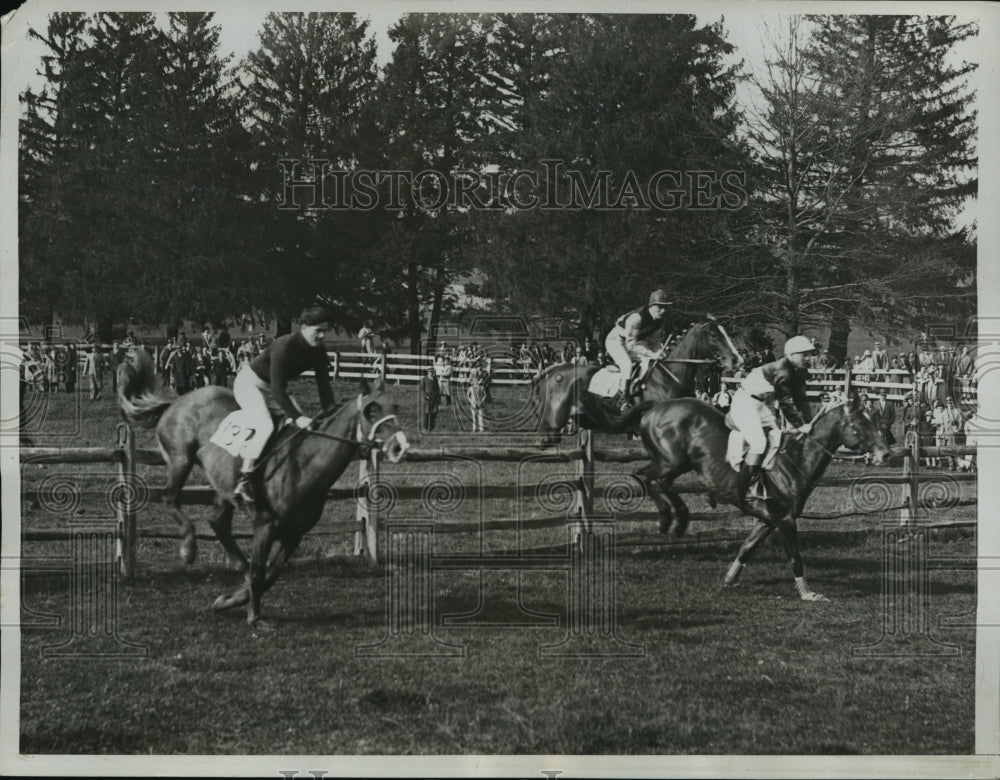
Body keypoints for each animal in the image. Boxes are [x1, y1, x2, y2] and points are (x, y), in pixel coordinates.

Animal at [118, 348, 410, 628]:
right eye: (371, 410)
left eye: (393, 406)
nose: (400, 446)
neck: (303, 463)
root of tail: (177, 401)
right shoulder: (265, 525)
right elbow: (261, 569)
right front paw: (254, 616)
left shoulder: (295, 533)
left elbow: (272, 572)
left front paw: (231, 599)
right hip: (180, 459)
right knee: (170, 498)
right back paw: (188, 547)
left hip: (223, 482)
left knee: (218, 522)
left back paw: (238, 565)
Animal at [632, 394, 892, 600]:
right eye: (861, 422)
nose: (886, 453)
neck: (795, 461)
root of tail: (657, 406)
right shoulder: (784, 519)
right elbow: (795, 557)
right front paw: (807, 593)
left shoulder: (766, 520)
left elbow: (746, 548)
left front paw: (729, 579)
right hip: (671, 462)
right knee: (643, 477)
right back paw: (670, 518)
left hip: (678, 464)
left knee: (656, 480)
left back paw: (676, 519)